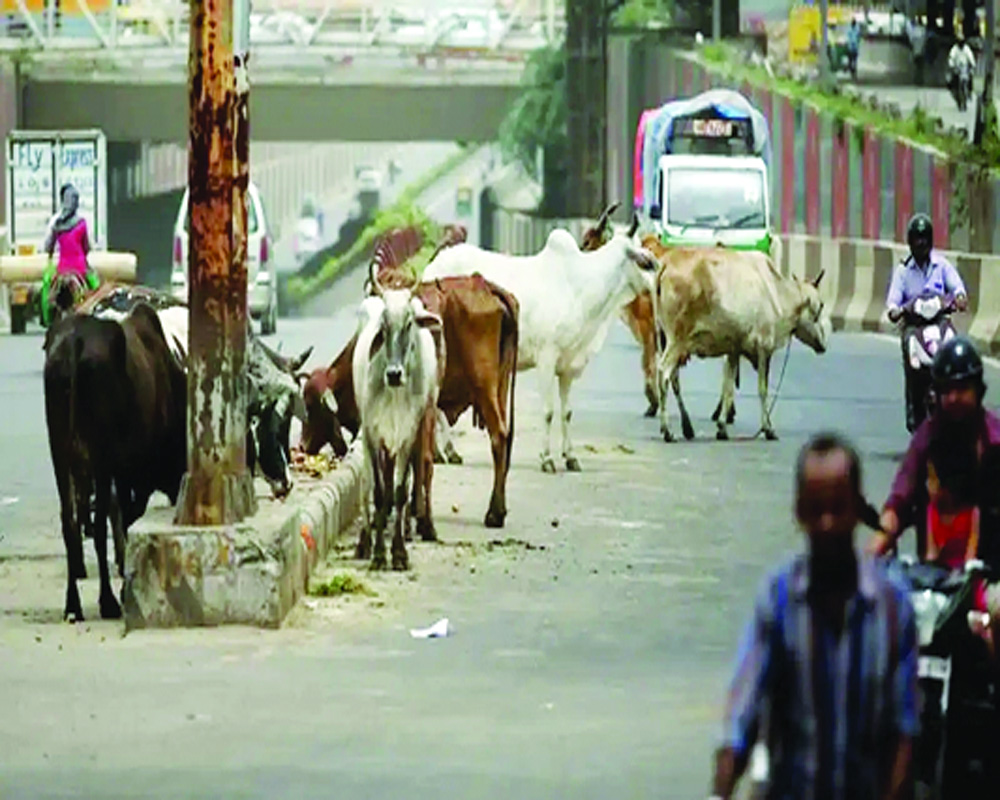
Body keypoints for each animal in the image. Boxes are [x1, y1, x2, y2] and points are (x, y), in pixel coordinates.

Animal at [44, 304, 188, 620]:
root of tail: (74, 342)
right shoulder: (133, 472)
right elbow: (126, 517)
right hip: (100, 459)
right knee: (97, 526)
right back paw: (108, 600)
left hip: (60, 453)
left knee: (69, 523)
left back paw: (72, 604)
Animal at [298, 272, 520, 528]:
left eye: (311, 406)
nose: (301, 446)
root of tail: (485, 286)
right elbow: (415, 456)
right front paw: (413, 506)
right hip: (500, 385)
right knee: (504, 436)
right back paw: (499, 508)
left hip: (483, 386)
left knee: (498, 436)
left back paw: (493, 513)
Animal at [648, 247, 828, 440]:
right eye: (821, 305)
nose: (823, 345)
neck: (777, 293)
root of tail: (666, 263)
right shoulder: (764, 347)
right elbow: (762, 389)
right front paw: (768, 428)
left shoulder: (733, 349)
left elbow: (728, 386)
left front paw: (722, 427)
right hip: (677, 341)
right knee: (663, 373)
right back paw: (668, 430)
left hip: (664, 338)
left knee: (673, 378)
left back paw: (684, 427)